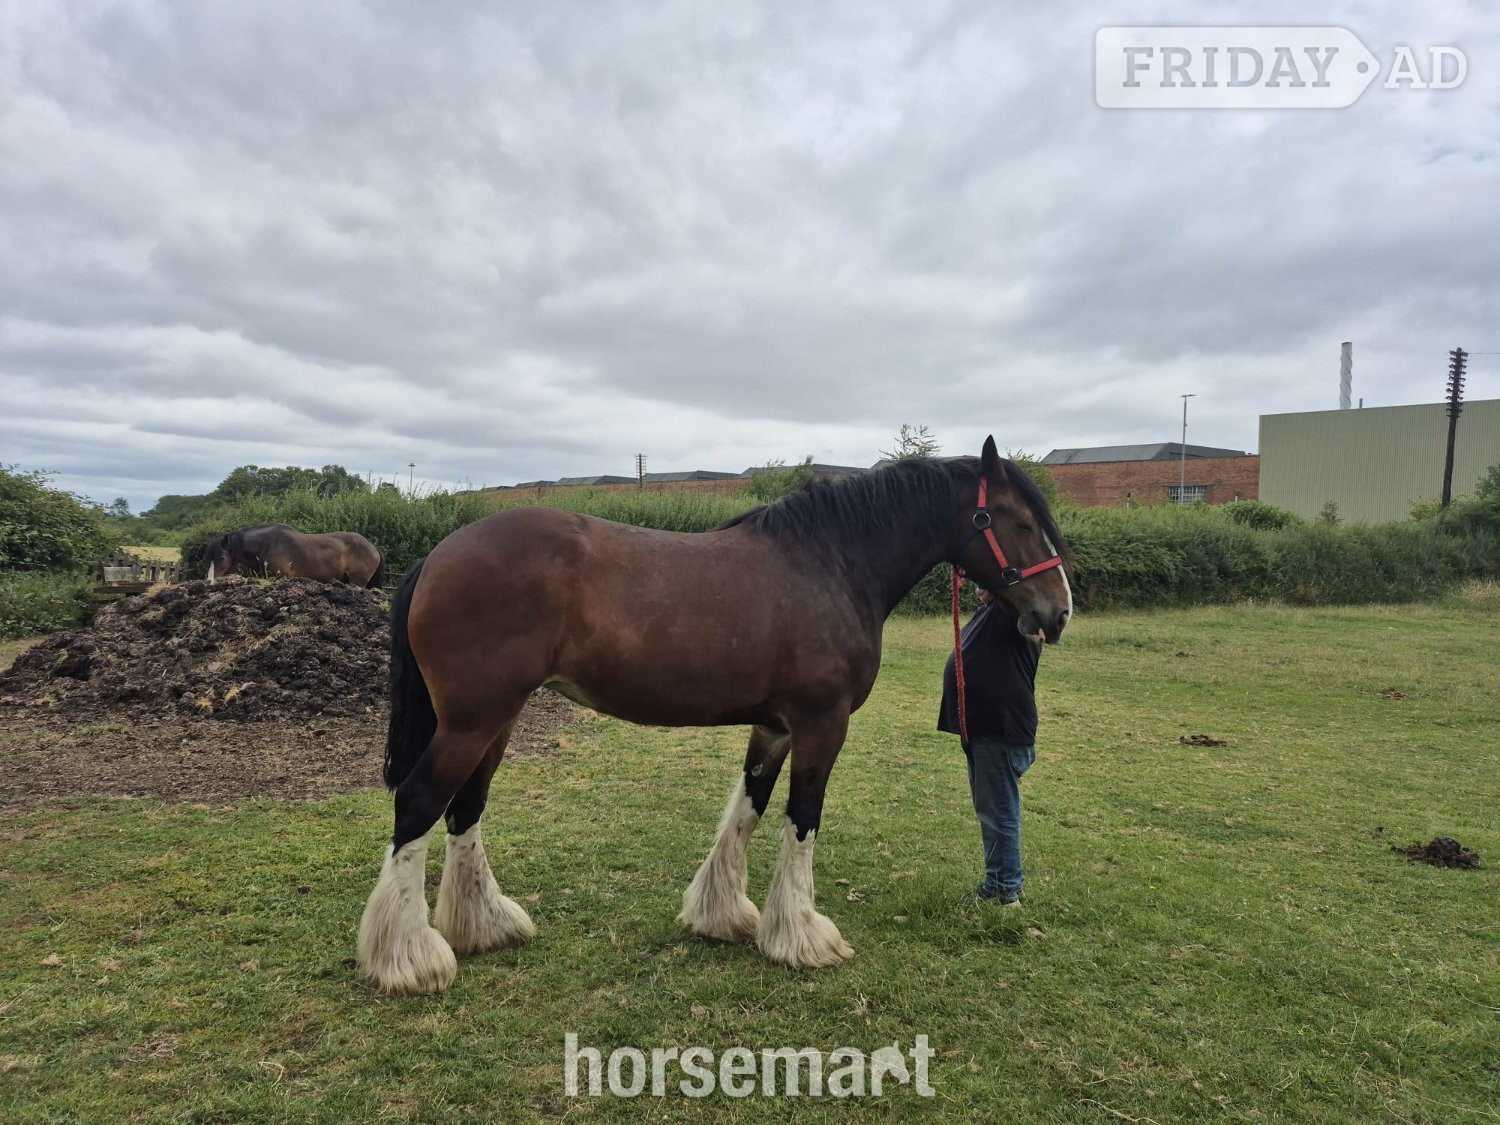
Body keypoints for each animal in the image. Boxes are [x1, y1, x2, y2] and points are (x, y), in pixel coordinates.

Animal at [205, 525, 385, 588]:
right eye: (207, 558)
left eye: (222, 558)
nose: (209, 581)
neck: (268, 545)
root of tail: (373, 548)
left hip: (357, 582)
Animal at [357, 437, 1071, 994]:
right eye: (1019, 522)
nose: (1058, 613)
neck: (831, 565)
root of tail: (438, 555)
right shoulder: (822, 724)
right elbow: (801, 820)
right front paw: (802, 937)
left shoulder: (775, 727)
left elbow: (749, 808)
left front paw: (723, 916)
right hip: (473, 721)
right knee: (420, 802)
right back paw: (408, 959)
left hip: (495, 722)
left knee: (465, 808)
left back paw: (485, 927)